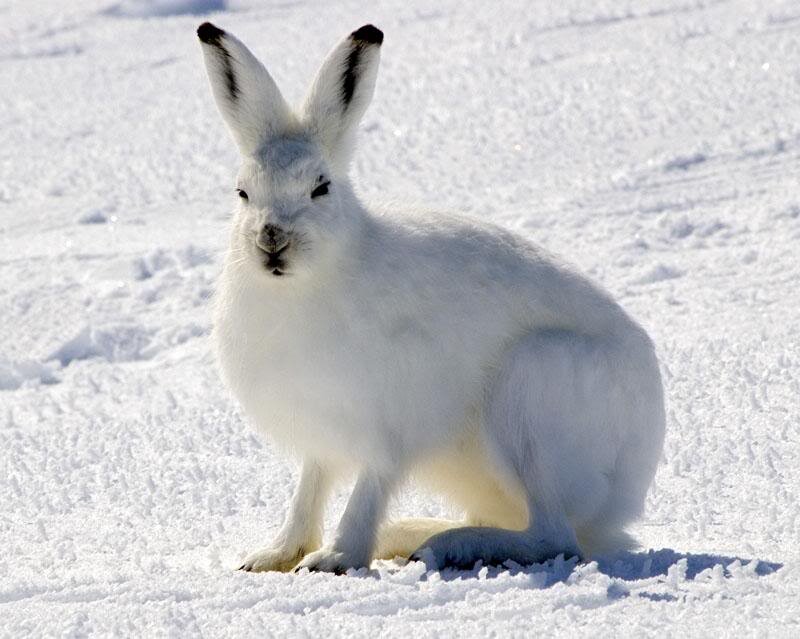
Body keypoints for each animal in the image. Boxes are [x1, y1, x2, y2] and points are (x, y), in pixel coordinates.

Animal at [198, 21, 666, 574]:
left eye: (321, 188)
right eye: (243, 193)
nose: (272, 239)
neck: (308, 283)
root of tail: (629, 489)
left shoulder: (389, 427)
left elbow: (368, 490)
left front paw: (335, 557)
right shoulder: (322, 434)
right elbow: (309, 490)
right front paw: (274, 555)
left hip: (532, 391)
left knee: (555, 536)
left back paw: (449, 546)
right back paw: (413, 535)